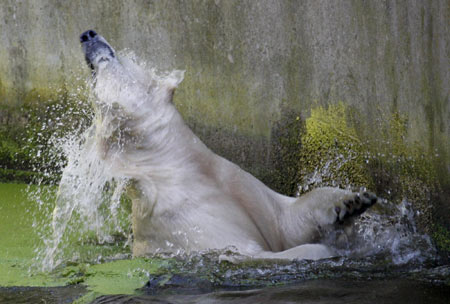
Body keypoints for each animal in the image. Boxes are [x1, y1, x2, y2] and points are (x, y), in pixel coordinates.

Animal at [78, 30, 376, 258]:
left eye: (98, 69)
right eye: (96, 76)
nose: (86, 34)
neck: (179, 168)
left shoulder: (236, 182)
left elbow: (286, 220)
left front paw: (352, 201)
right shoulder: (191, 225)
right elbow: (257, 253)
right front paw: (326, 248)